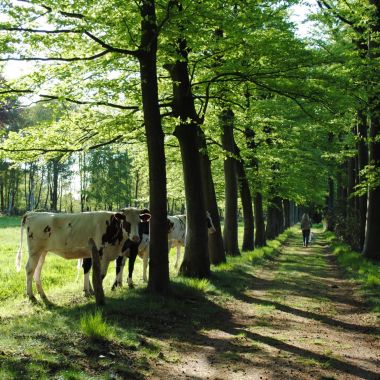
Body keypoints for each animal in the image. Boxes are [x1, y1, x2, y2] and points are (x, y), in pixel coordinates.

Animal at [16, 206, 149, 302]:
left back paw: (42, 295)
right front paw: (98, 294)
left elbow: (89, 270)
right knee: (29, 269)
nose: (136, 237)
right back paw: (31, 296)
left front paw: (89, 291)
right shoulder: (103, 255)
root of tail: (33, 213)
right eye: (126, 221)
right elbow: (99, 275)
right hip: (35, 251)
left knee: (37, 270)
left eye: (139, 222)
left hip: (42, 251)